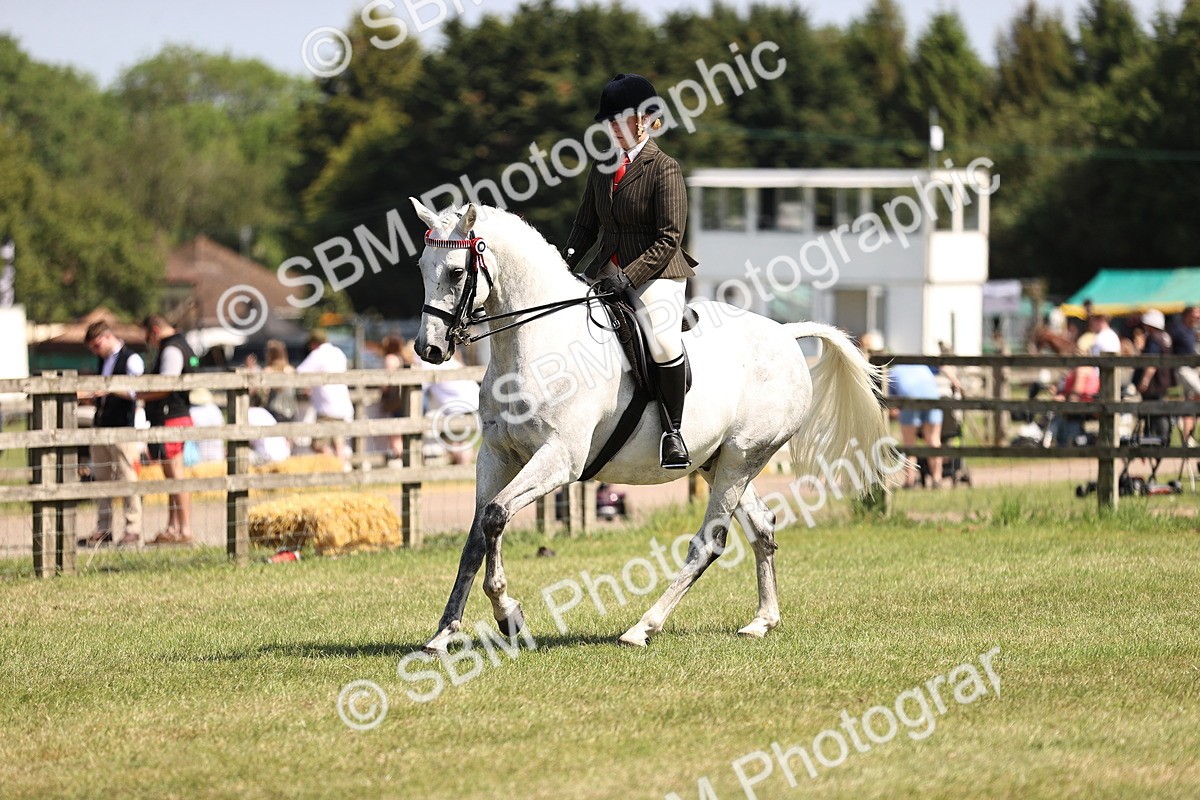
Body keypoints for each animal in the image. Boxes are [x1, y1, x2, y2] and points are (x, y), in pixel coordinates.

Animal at [410, 198, 894, 650]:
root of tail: (785, 334)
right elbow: (478, 534)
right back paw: (762, 621)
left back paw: (642, 627)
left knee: (710, 543)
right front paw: (444, 633)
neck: (537, 345)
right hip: (718, 462)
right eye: (422, 267)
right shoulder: (496, 455)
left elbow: (495, 517)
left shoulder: (559, 459)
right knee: (762, 526)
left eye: (456, 272)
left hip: (742, 457)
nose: (428, 349)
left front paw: (508, 613)